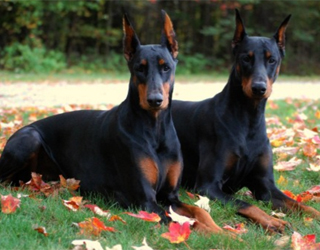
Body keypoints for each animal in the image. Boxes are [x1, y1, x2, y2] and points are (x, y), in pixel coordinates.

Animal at [0, 11, 222, 234]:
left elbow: (199, 212)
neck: (154, 127)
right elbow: (181, 223)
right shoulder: (145, 200)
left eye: (166, 67)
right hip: (30, 138)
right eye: (139, 68)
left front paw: (221, 232)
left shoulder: (170, 196)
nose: (155, 100)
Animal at [172, 9, 320, 232]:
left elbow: (299, 204)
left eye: (272, 60)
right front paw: (273, 220)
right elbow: (246, 203)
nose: (259, 88)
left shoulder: (265, 185)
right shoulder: (208, 186)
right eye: (246, 58)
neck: (249, 118)